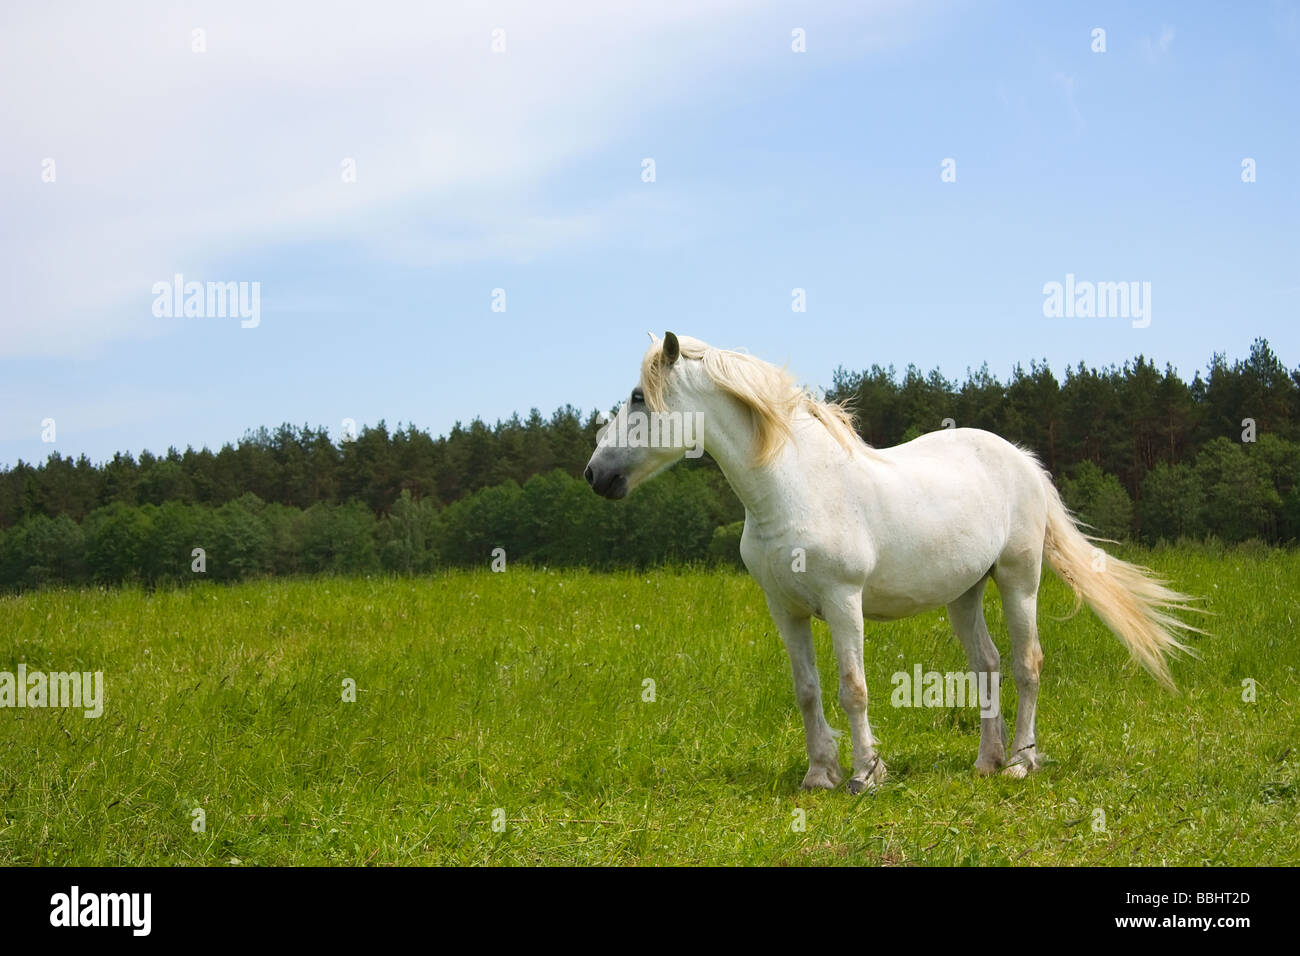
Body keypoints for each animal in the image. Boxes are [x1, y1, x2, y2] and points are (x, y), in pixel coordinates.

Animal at [585, 332, 1201, 796]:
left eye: (638, 397)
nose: (595, 475)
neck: (794, 488)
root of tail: (1021, 459)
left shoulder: (843, 602)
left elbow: (851, 688)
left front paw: (865, 775)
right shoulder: (786, 610)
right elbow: (806, 691)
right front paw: (819, 775)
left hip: (1018, 580)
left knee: (1026, 664)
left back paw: (1021, 763)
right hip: (964, 594)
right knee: (987, 666)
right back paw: (986, 762)